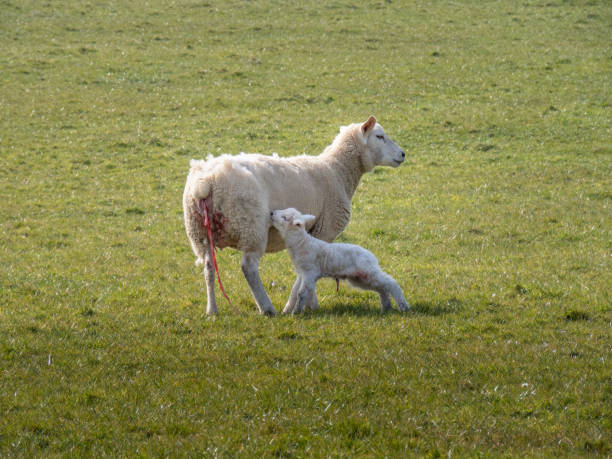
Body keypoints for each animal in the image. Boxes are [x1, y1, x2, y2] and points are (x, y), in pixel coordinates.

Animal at [272, 209, 412, 314]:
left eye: (284, 217)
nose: (272, 213)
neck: (301, 243)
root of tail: (372, 256)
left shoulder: (309, 271)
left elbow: (301, 293)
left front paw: (296, 313)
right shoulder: (302, 272)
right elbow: (297, 291)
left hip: (368, 271)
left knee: (391, 283)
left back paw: (403, 306)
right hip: (360, 278)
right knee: (382, 288)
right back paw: (386, 307)